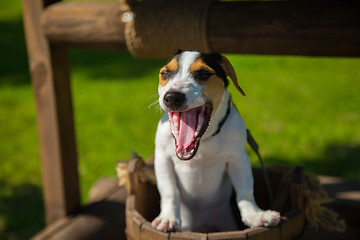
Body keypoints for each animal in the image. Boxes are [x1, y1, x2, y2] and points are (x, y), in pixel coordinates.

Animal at [150, 50, 280, 232]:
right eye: (165, 73)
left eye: (204, 74)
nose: (173, 97)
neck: (204, 141)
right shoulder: (163, 158)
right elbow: (169, 191)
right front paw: (168, 218)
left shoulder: (238, 158)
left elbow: (245, 190)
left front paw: (255, 215)